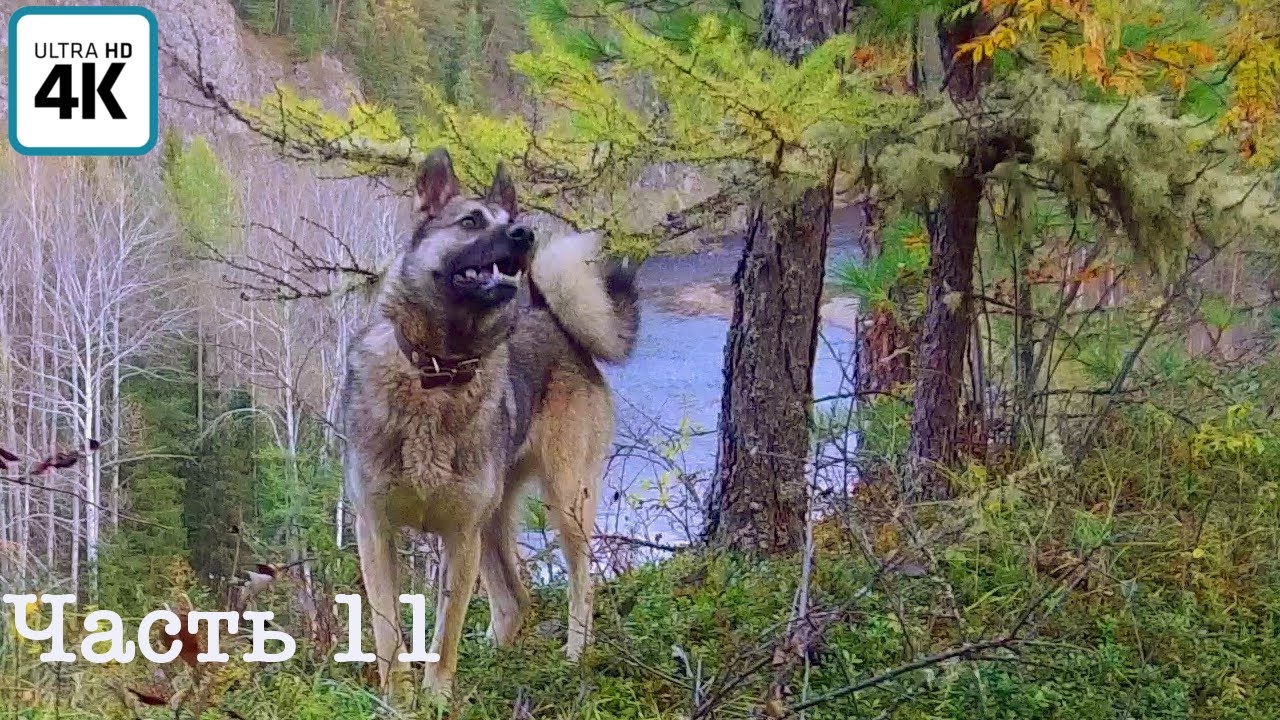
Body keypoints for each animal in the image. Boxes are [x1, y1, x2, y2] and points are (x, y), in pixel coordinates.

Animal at [340, 148, 640, 691]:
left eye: (509, 220)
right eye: (471, 222)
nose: (525, 234)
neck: (438, 372)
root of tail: (553, 319)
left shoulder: (460, 537)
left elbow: (445, 637)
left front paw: (437, 697)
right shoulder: (375, 530)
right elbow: (387, 631)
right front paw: (397, 697)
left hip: (565, 502)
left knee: (581, 585)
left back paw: (574, 657)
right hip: (495, 522)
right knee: (515, 601)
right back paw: (497, 668)